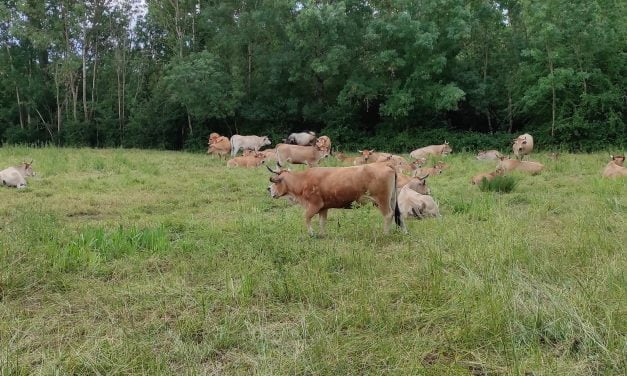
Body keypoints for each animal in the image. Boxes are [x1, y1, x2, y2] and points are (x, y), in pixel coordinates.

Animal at [264, 164, 402, 236]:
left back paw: (385, 233)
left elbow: (306, 217)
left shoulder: (315, 204)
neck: (303, 180)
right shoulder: (323, 207)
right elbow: (322, 222)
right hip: (391, 199)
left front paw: (312, 233)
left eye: (276, 182)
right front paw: (322, 235)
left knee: (388, 215)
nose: (268, 189)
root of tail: (386, 165)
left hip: (382, 200)